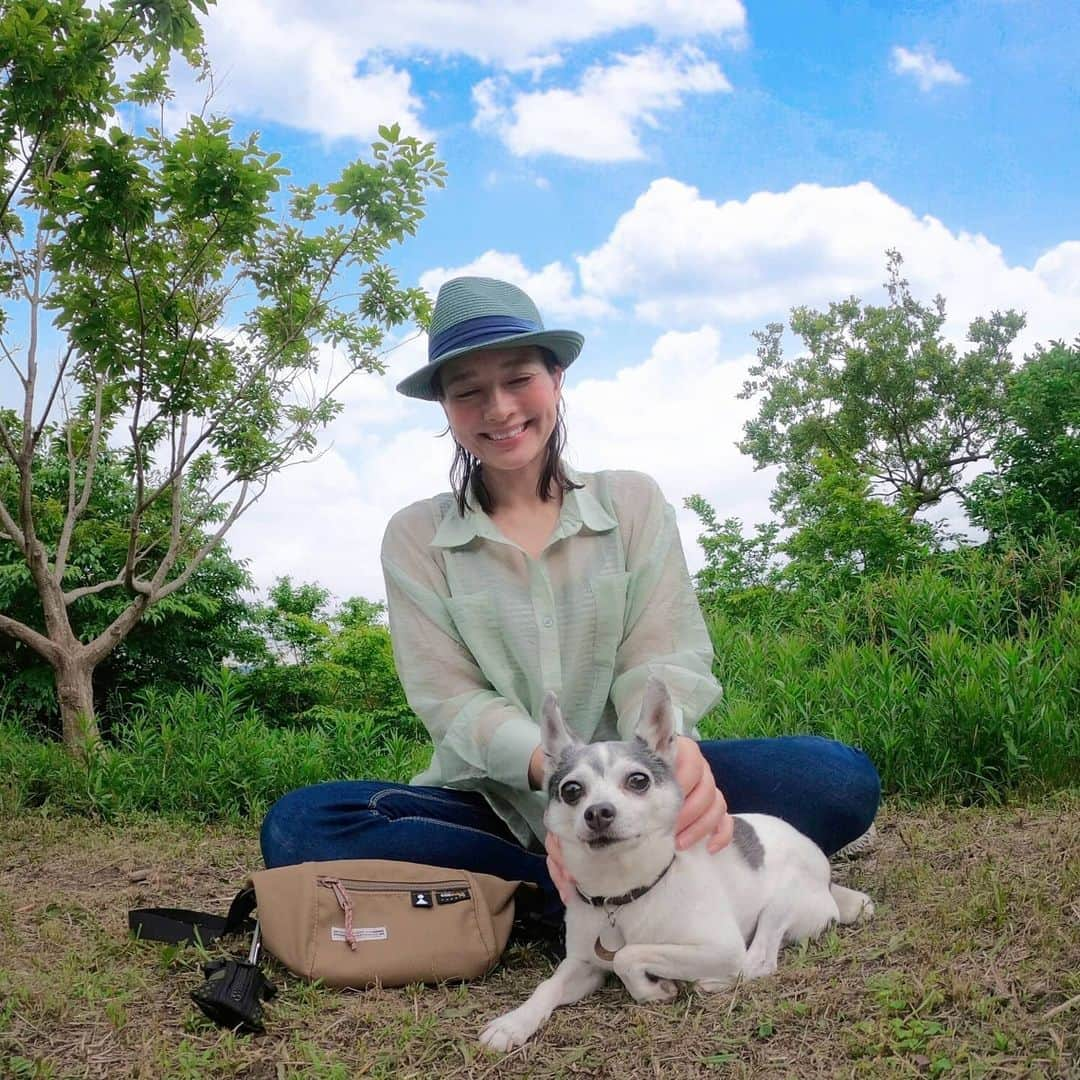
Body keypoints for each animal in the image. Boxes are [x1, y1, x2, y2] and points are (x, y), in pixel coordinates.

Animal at [477, 678, 872, 1049]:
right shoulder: (582, 964)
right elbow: (549, 986)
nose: (598, 812)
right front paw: (513, 1023)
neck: (623, 894)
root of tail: (827, 879)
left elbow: (627, 955)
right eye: (571, 790)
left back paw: (715, 980)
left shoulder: (717, 946)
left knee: (758, 960)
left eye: (638, 780)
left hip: (780, 905)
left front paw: (653, 990)